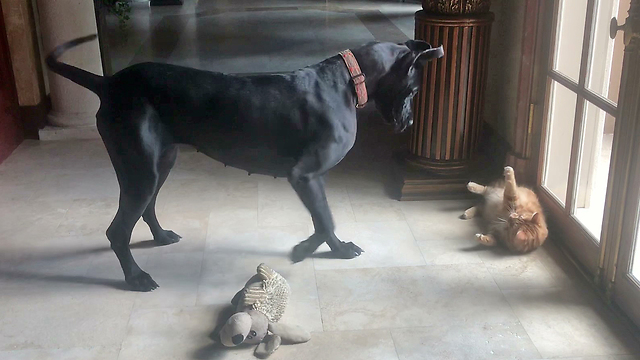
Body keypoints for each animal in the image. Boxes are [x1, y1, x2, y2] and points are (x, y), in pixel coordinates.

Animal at [46, 35, 444, 292]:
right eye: (413, 91)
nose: (409, 122)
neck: (348, 78)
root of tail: (108, 83)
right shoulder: (304, 175)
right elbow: (325, 220)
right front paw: (318, 249)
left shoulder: (313, 177)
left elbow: (322, 218)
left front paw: (324, 247)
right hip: (141, 168)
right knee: (118, 231)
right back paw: (135, 278)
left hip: (161, 162)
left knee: (146, 209)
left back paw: (160, 237)